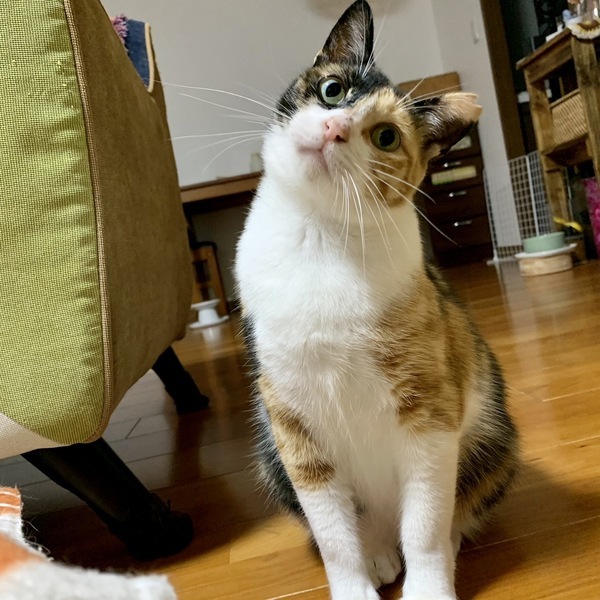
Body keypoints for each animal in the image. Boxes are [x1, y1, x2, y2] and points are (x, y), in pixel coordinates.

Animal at [235, 1, 520, 599]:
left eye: (385, 136)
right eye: (332, 89)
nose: (334, 127)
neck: (321, 237)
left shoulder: (431, 410)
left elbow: (426, 523)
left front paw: (430, 586)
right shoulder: (292, 426)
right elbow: (332, 534)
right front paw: (354, 583)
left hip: (494, 441)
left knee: (446, 512)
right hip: (269, 456)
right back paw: (379, 553)